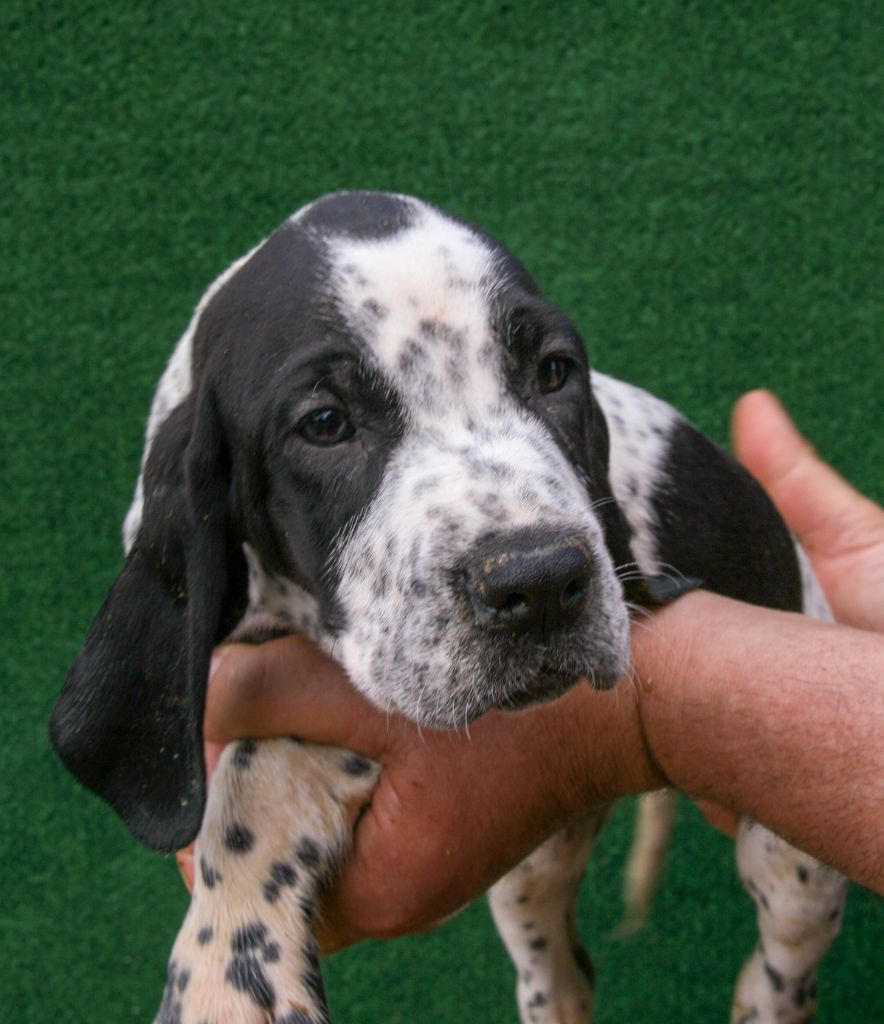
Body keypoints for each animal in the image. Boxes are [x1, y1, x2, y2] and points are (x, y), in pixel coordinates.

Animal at [51, 191, 847, 1024]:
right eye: (324, 423)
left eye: (555, 373)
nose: (540, 581)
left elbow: (256, 766)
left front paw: (227, 972)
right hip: (535, 869)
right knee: (561, 967)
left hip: (793, 864)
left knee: (782, 962)